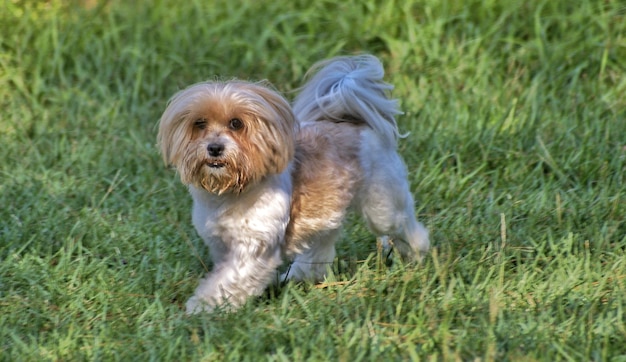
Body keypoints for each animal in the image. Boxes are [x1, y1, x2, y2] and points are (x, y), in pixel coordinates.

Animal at [157, 54, 428, 314]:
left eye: (236, 123)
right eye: (199, 123)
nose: (214, 147)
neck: (232, 192)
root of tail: (354, 121)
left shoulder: (254, 248)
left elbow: (228, 281)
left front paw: (203, 306)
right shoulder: (220, 243)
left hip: (383, 205)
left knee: (406, 226)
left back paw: (416, 254)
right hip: (326, 214)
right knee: (319, 251)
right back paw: (295, 278)